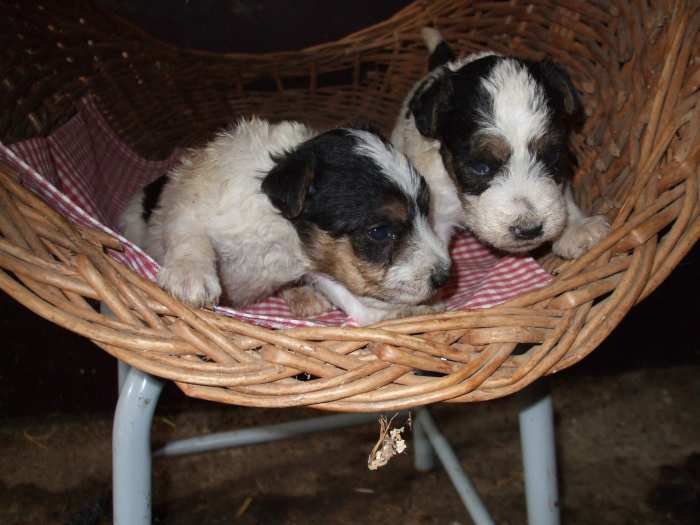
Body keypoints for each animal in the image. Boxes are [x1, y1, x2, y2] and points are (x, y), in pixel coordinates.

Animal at [118, 116, 452, 326]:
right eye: (380, 232)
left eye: (426, 210)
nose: (445, 277)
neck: (283, 232)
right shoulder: (190, 206)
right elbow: (190, 235)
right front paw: (190, 278)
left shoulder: (319, 261)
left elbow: (355, 303)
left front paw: (402, 312)